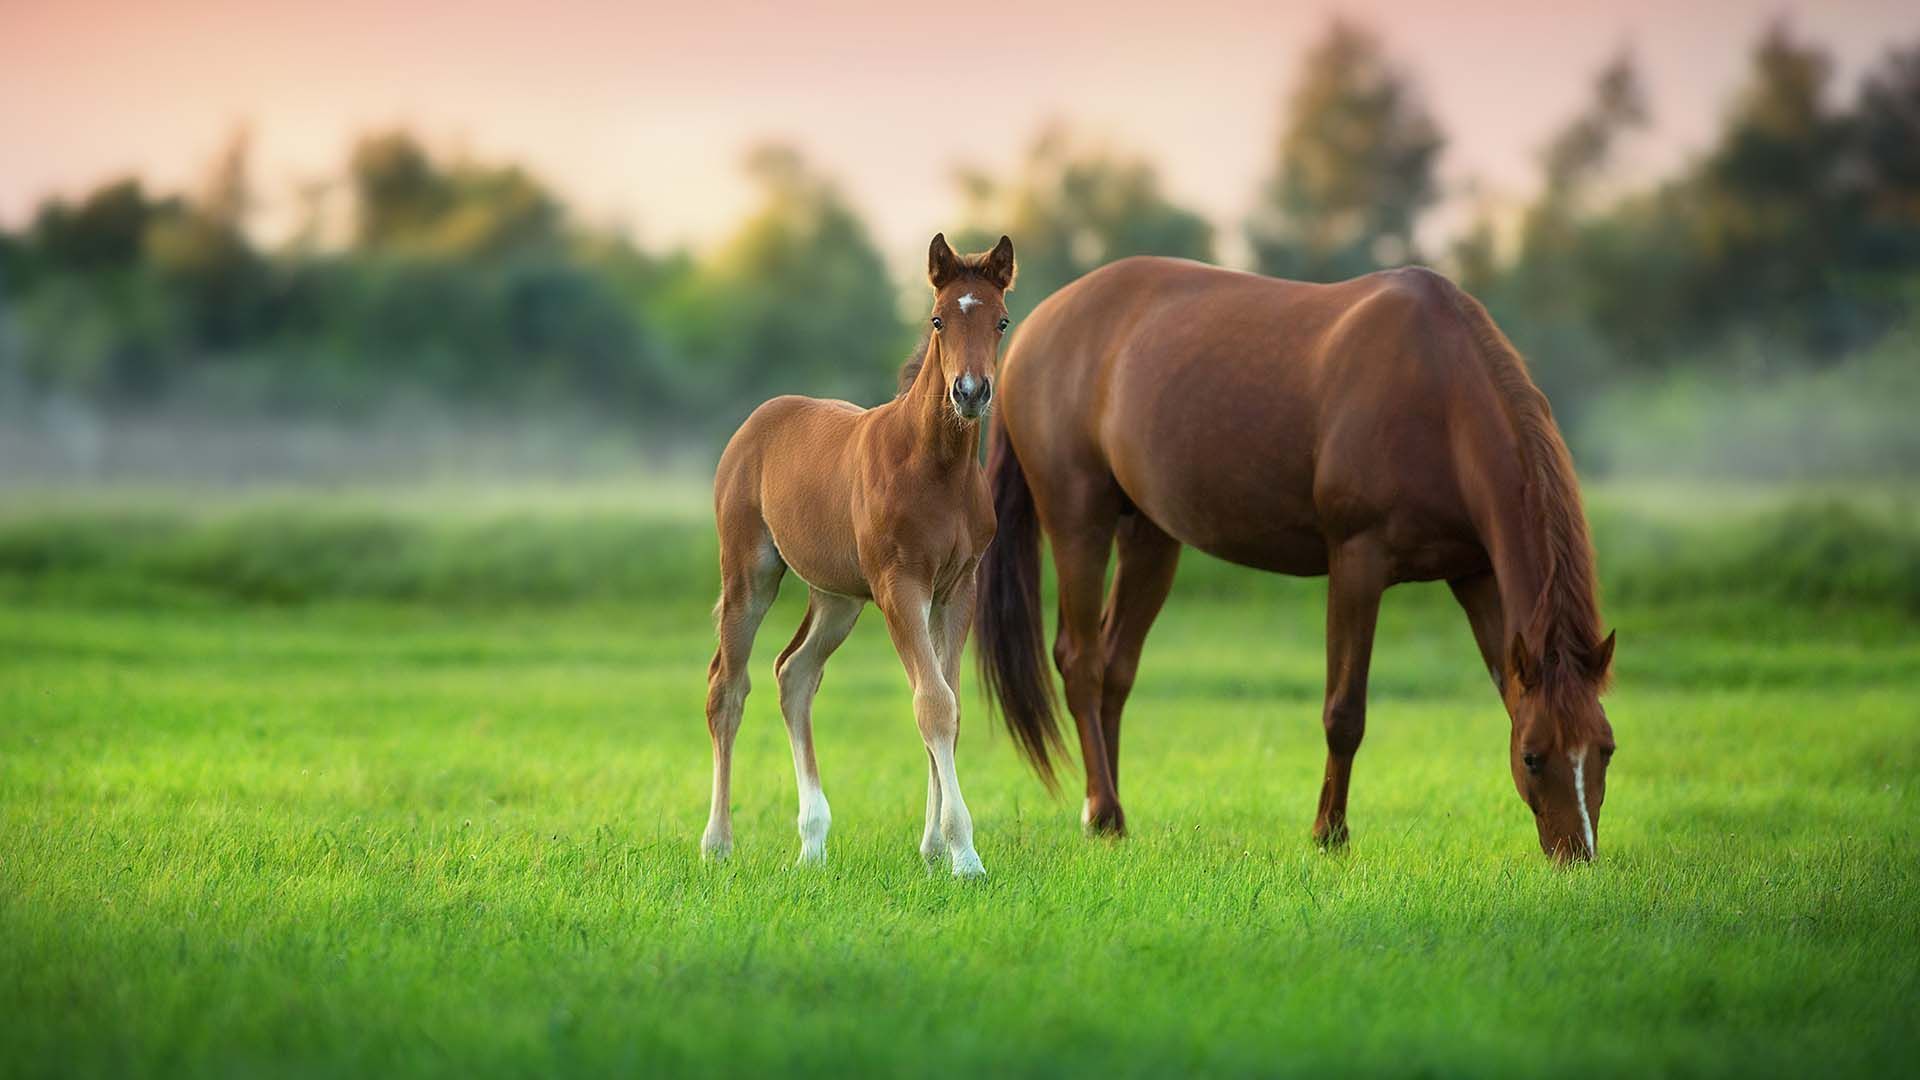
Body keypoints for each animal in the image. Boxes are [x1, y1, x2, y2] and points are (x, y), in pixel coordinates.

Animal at [700, 233, 1016, 876]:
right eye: (938, 319)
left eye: (1000, 320)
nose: (970, 393)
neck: (935, 468)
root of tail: (758, 419)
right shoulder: (901, 586)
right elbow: (932, 704)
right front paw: (964, 854)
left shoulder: (957, 589)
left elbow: (949, 706)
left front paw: (933, 847)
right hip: (750, 572)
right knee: (728, 688)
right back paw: (717, 843)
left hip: (837, 597)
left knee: (794, 674)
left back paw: (813, 841)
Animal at [975, 256, 1617, 862]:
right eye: (1532, 758)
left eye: (1606, 749)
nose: (1576, 855)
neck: (1440, 394)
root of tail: (1032, 328)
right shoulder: (1358, 561)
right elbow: (1345, 712)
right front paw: (1329, 834)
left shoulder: (1475, 574)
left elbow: (1505, 691)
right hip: (1078, 520)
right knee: (1081, 661)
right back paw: (1104, 811)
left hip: (1150, 536)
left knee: (1115, 665)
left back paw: (1106, 814)